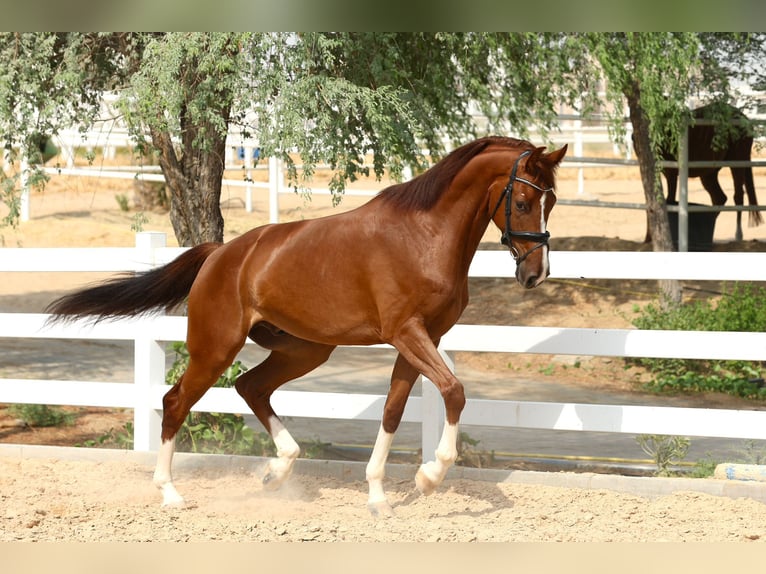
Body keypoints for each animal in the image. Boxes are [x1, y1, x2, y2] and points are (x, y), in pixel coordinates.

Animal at [46, 136, 567, 516]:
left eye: (553, 201)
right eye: (523, 201)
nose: (535, 274)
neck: (422, 237)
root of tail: (220, 254)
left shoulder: (422, 339)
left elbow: (394, 412)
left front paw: (379, 497)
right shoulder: (407, 333)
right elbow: (454, 391)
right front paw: (429, 477)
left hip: (305, 349)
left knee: (252, 388)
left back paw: (276, 472)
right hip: (216, 348)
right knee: (176, 402)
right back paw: (171, 493)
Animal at [659, 103, 762, 242]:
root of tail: (745, 119)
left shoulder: (671, 172)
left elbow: (669, 200)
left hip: (737, 161)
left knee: (738, 196)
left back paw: (738, 235)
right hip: (709, 173)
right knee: (719, 198)